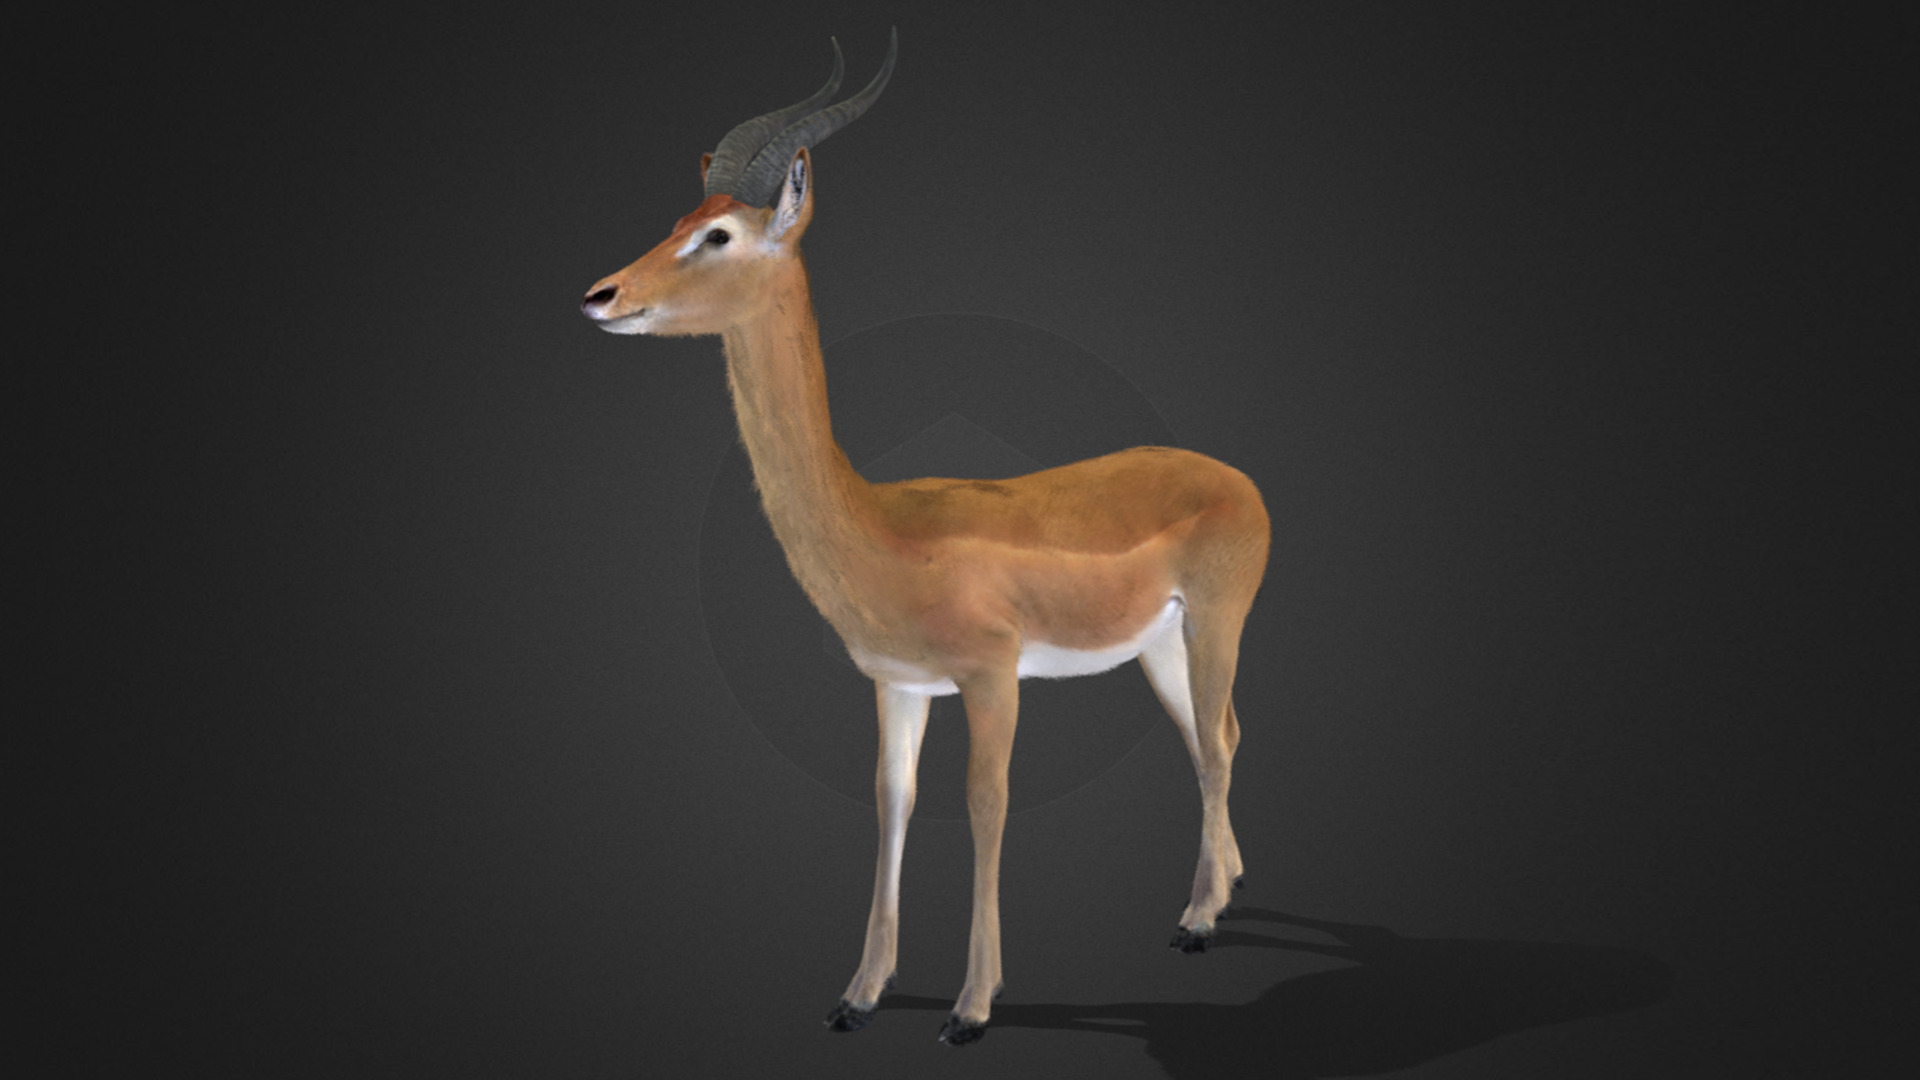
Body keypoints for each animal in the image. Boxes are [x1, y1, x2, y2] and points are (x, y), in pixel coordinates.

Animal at [581, 31, 1269, 1045]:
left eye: (720, 235)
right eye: (681, 216)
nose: (601, 294)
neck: (881, 528)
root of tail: (1239, 479)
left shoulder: (991, 678)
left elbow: (985, 808)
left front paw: (971, 1009)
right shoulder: (899, 685)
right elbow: (892, 805)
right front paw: (858, 995)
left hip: (1215, 622)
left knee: (1218, 743)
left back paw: (1193, 924)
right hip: (1159, 647)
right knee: (1211, 732)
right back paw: (1220, 896)